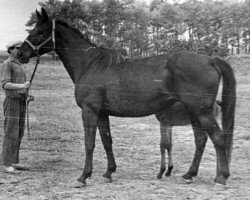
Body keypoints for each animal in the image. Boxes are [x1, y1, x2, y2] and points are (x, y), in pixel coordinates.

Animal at [18, 8, 236, 189]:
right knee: (201, 140)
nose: (20, 53)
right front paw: (109, 172)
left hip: (201, 111)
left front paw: (83, 177)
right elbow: (107, 141)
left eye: (40, 32)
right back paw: (189, 175)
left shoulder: (89, 110)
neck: (90, 65)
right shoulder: (102, 113)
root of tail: (210, 59)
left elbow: (90, 143)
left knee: (218, 138)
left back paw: (220, 179)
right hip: (194, 112)